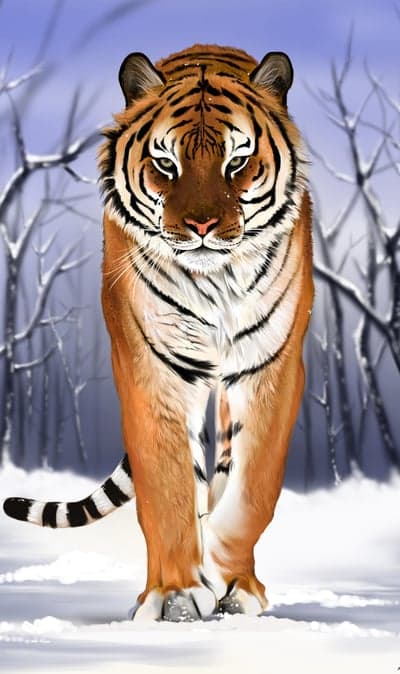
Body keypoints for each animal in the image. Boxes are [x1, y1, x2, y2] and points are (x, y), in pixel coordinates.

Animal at [3, 44, 313, 622]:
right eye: (166, 164)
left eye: (237, 162)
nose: (201, 226)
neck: (217, 282)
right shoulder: (152, 365)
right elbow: (167, 485)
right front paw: (175, 596)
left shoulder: (271, 365)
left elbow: (254, 489)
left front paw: (225, 571)